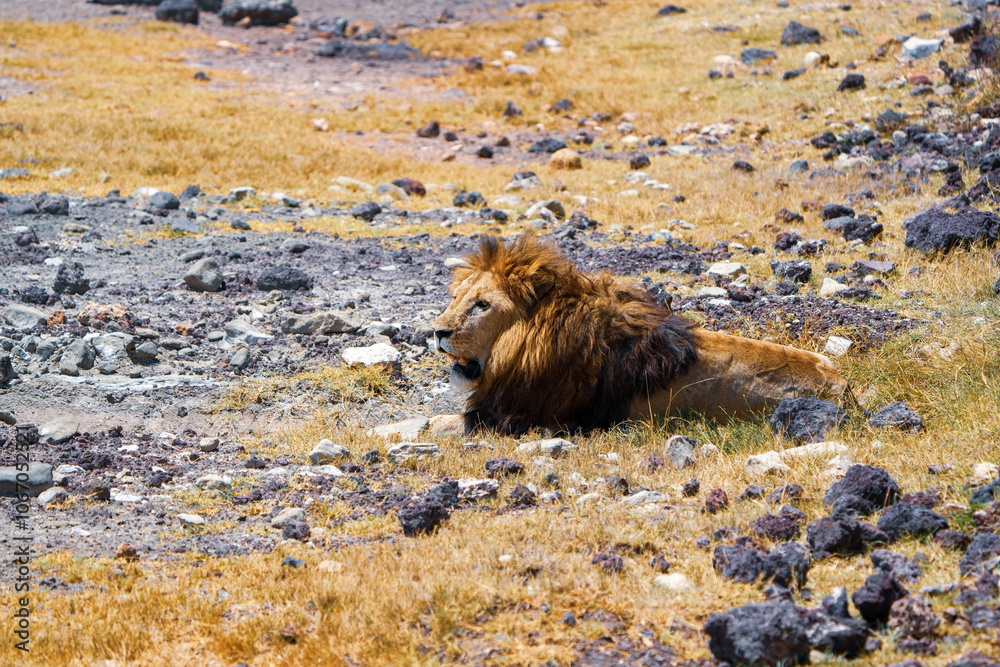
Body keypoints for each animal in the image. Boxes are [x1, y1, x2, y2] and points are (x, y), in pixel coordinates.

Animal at [431, 235, 851, 436]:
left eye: (482, 305)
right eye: (455, 297)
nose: (437, 332)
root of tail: (845, 388)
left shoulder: (523, 418)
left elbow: (442, 422)